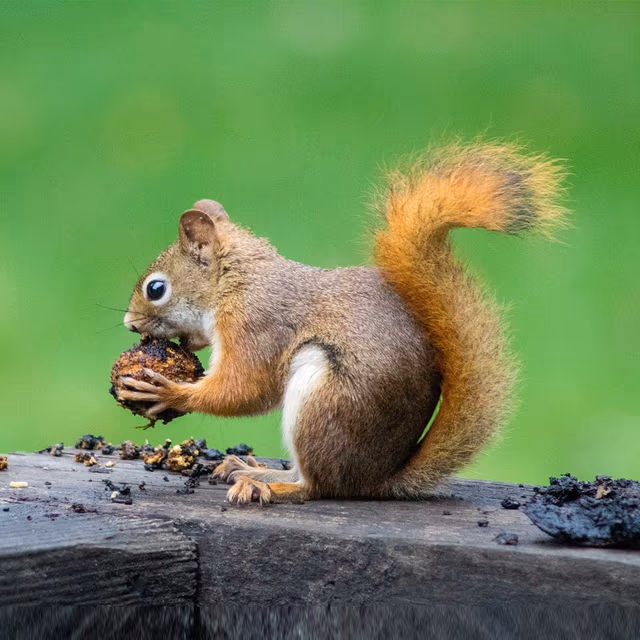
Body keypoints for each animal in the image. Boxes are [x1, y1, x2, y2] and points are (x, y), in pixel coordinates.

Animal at [118, 141, 566, 504]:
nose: (129, 324)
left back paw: (270, 485)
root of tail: (375, 479)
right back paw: (250, 468)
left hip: (322, 399)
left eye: (156, 289)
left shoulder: (256, 324)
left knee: (317, 486)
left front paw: (169, 391)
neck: (237, 281)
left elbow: (245, 389)